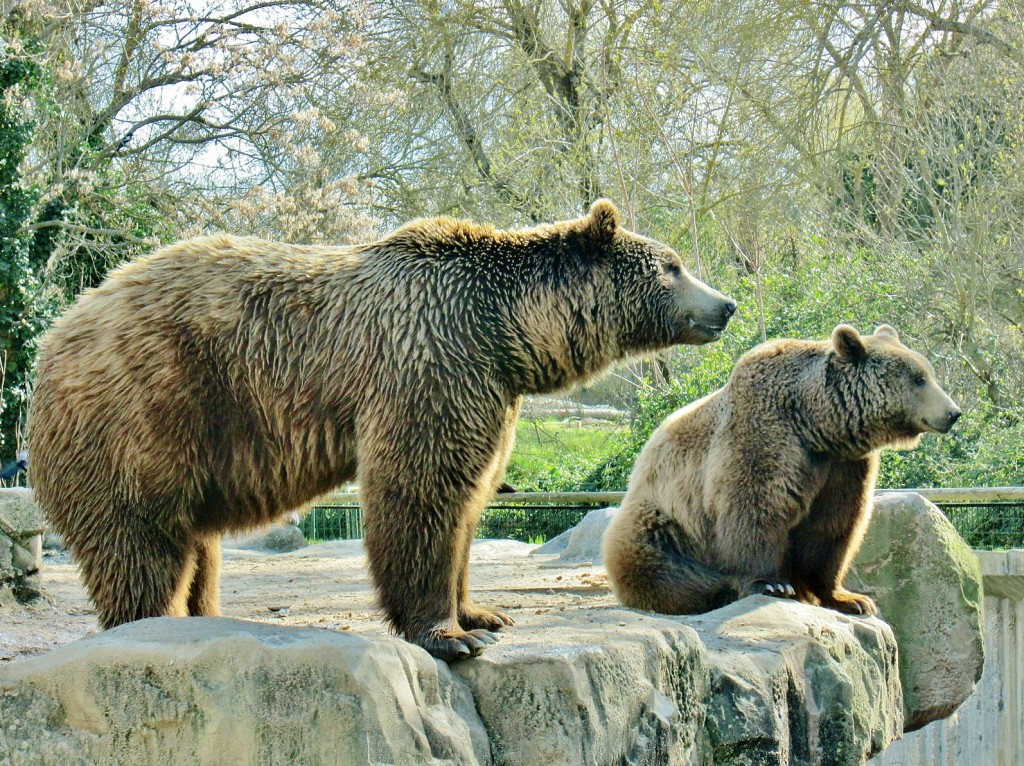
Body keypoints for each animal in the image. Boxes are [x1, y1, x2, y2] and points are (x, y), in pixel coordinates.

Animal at [28, 200, 737, 659]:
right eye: (672, 264)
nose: (726, 304)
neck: (507, 334)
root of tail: (58, 334)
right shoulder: (432, 359)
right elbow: (423, 491)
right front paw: (452, 636)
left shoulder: (488, 389)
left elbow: (470, 500)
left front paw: (482, 610)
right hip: (144, 408)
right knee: (142, 540)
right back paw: (154, 622)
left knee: (195, 543)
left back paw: (203, 613)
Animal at [598, 323, 958, 614]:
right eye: (919, 379)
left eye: (929, 374)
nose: (953, 413)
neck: (815, 424)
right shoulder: (765, 436)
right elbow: (754, 508)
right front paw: (770, 583)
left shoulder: (844, 466)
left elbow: (832, 528)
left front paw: (850, 598)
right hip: (664, 521)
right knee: (659, 564)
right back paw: (715, 589)